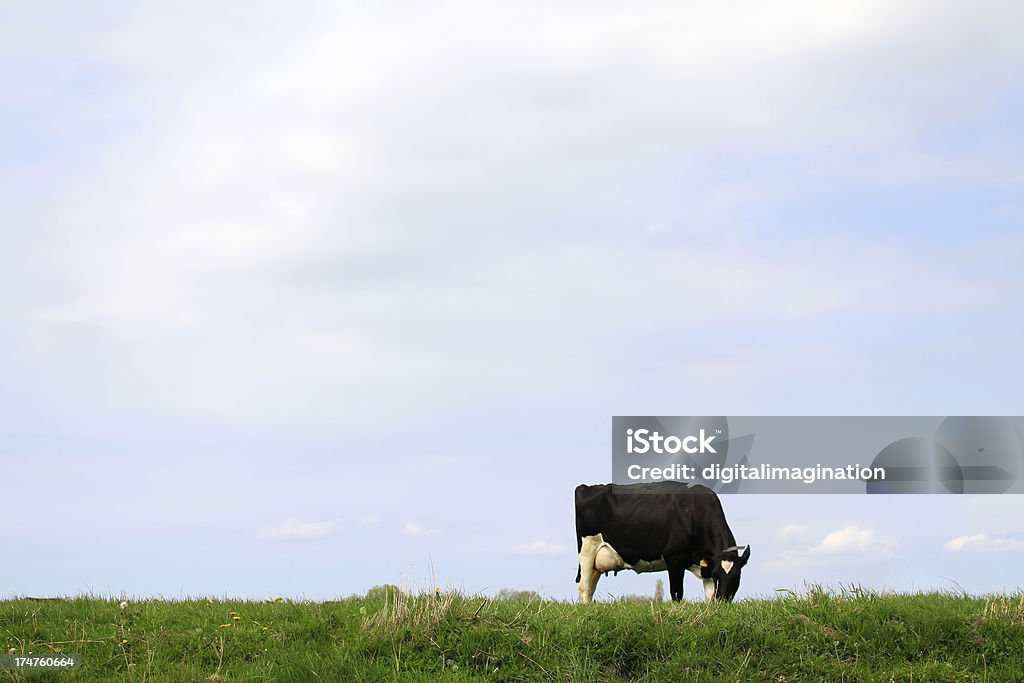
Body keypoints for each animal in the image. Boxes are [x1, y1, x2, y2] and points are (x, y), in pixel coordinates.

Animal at [577, 481, 753, 602]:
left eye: (737, 577)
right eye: (717, 575)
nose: (723, 600)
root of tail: (587, 487)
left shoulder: (706, 566)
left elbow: (709, 596)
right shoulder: (674, 556)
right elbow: (677, 593)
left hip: (597, 561)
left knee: (591, 586)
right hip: (587, 550)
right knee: (584, 586)